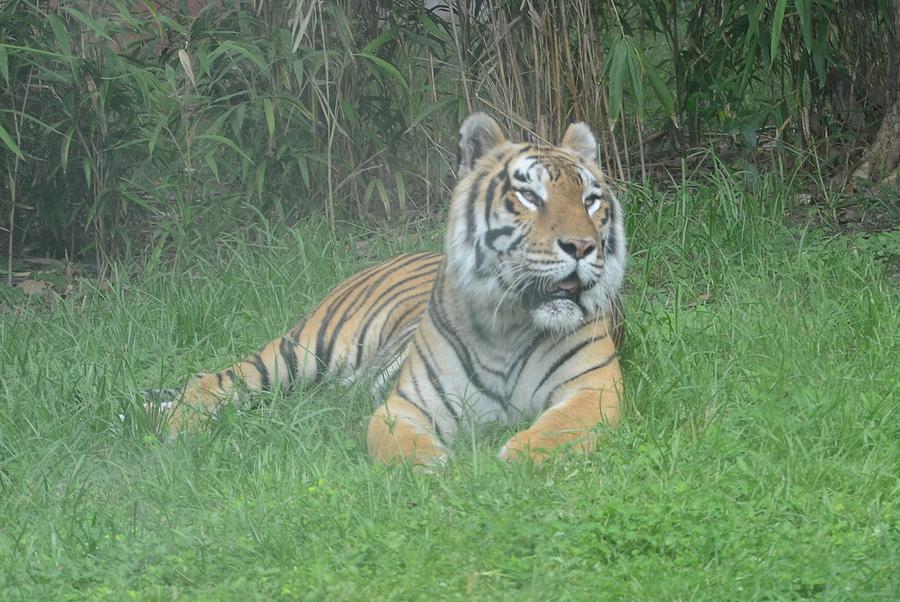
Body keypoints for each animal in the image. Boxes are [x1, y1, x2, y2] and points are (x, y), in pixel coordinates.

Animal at [162, 113, 624, 468]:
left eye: (590, 200)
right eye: (529, 195)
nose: (581, 246)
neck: (510, 325)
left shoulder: (594, 388)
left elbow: (561, 427)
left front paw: (519, 456)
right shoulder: (408, 403)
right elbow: (396, 441)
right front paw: (429, 468)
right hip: (301, 351)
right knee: (213, 380)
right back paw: (176, 430)